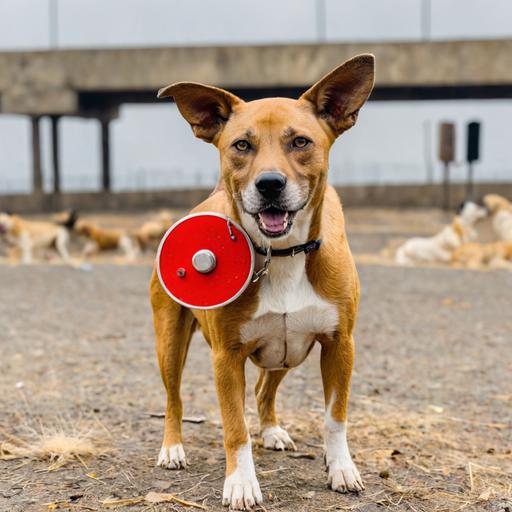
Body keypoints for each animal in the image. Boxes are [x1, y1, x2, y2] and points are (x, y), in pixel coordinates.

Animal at [150, 54, 374, 510]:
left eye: (300, 142)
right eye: (241, 145)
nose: (269, 184)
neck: (283, 254)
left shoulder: (339, 345)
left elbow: (335, 417)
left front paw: (341, 468)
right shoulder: (227, 357)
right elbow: (235, 429)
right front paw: (240, 483)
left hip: (289, 351)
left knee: (263, 390)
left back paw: (272, 430)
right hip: (170, 341)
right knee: (173, 398)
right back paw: (172, 447)